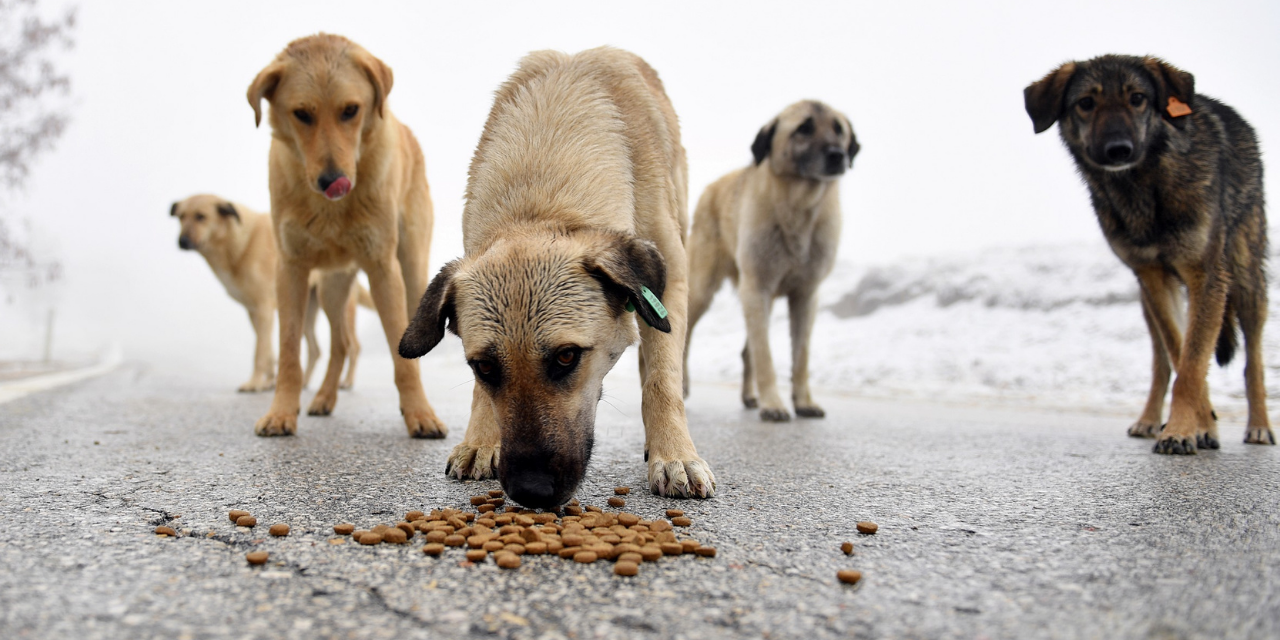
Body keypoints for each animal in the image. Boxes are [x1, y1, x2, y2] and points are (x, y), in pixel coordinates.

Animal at [170, 190, 371, 389]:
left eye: (201, 217)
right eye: (181, 216)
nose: (182, 242)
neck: (239, 243)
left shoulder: (264, 309)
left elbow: (260, 351)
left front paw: (254, 383)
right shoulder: (254, 313)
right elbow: (268, 352)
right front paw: (267, 381)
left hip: (337, 307)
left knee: (353, 346)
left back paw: (346, 381)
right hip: (305, 311)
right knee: (315, 350)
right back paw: (302, 382)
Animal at [245, 35, 445, 440]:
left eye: (350, 110)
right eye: (302, 114)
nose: (332, 180)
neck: (330, 210)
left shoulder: (384, 268)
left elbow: (403, 356)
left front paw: (419, 413)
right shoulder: (290, 269)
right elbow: (289, 350)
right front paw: (281, 412)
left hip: (412, 270)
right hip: (332, 286)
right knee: (341, 343)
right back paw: (323, 398)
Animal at [399, 47, 716, 506]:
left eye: (567, 356)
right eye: (484, 366)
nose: (531, 491)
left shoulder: (669, 283)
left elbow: (662, 381)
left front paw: (675, 454)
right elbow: (479, 395)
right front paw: (481, 440)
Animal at [680, 98, 860, 419]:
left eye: (839, 130)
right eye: (804, 128)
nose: (837, 156)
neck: (799, 206)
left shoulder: (805, 295)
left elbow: (800, 356)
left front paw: (803, 401)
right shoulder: (757, 288)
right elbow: (765, 355)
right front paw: (774, 403)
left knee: (746, 350)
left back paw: (749, 396)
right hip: (703, 289)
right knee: (687, 336)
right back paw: (684, 385)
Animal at [1029, 56, 1269, 455]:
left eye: (1137, 98)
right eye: (1086, 103)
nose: (1118, 149)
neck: (1143, 186)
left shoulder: (1207, 277)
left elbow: (1193, 362)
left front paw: (1183, 430)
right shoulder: (1153, 277)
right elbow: (1181, 356)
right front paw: (1198, 425)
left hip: (1246, 281)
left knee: (1253, 361)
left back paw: (1260, 426)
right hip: (1148, 301)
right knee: (1162, 361)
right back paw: (1153, 420)